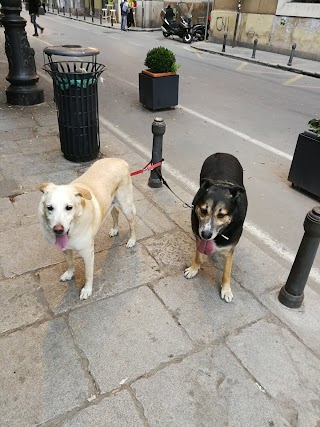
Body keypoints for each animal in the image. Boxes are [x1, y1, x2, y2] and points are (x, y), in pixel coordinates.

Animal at [38, 158, 136, 300]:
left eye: (69, 207)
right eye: (49, 208)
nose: (58, 229)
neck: (73, 230)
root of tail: (119, 160)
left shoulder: (88, 253)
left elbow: (88, 274)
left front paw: (87, 290)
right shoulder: (65, 249)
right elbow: (70, 263)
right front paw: (69, 274)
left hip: (125, 205)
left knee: (132, 222)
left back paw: (132, 240)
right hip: (110, 203)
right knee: (115, 213)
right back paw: (115, 229)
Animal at [184, 152, 249, 302]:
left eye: (221, 215)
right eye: (203, 210)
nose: (206, 234)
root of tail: (223, 153)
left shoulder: (230, 248)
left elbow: (227, 272)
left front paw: (226, 290)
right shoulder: (199, 237)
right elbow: (198, 255)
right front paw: (194, 268)